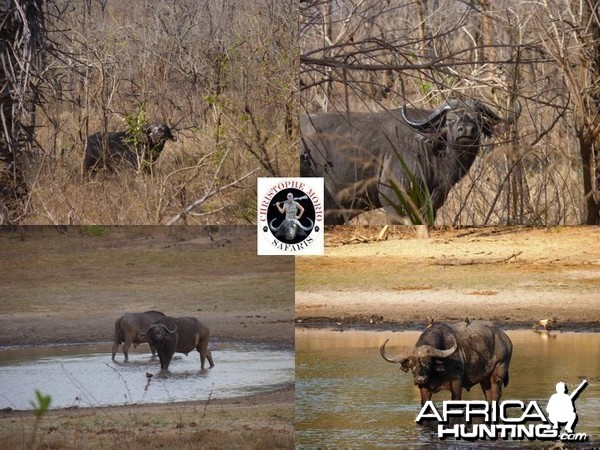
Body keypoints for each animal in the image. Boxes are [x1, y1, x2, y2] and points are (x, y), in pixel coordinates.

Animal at [382, 320, 512, 404]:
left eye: (428, 362)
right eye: (412, 364)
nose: (420, 379)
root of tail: (505, 338)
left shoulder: (456, 383)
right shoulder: (423, 389)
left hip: (499, 371)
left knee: (495, 394)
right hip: (485, 379)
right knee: (488, 394)